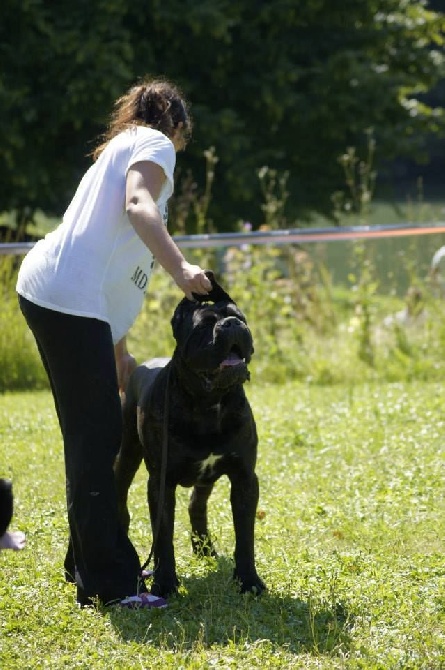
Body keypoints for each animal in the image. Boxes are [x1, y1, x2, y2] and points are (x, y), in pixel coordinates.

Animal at [113, 272, 264, 600]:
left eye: (239, 317)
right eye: (205, 325)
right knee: (120, 496)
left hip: (206, 476)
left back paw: (204, 549)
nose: (232, 325)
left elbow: (245, 536)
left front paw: (249, 581)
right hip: (126, 454)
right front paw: (165, 584)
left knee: (197, 503)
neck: (210, 404)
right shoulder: (161, 482)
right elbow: (163, 536)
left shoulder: (245, 477)